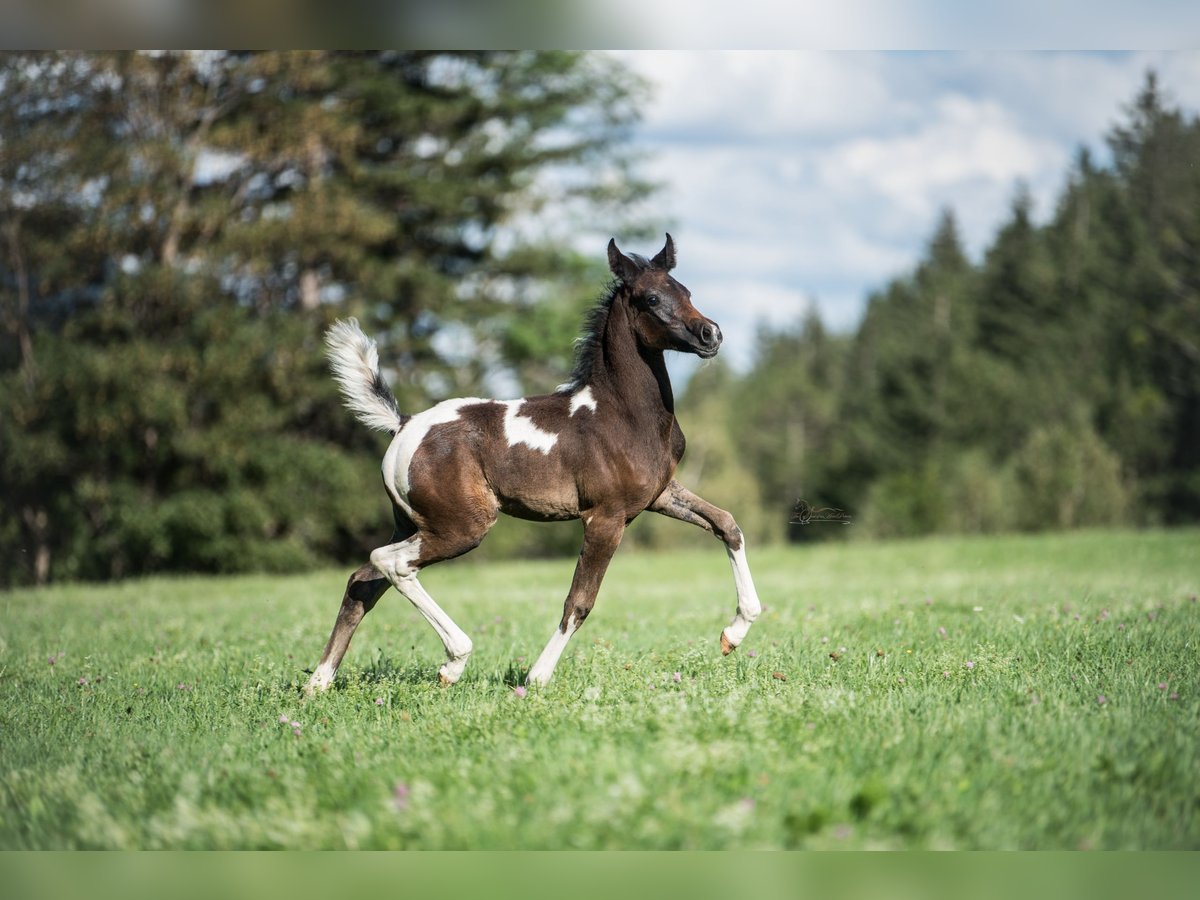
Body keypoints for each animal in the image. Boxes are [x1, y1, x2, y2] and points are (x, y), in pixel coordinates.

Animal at [307, 236, 758, 696]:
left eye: (686, 291)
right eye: (651, 298)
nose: (711, 333)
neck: (621, 414)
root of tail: (404, 424)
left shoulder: (660, 495)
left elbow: (727, 524)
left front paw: (734, 633)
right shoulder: (605, 517)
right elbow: (579, 601)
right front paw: (537, 677)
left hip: (412, 523)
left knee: (362, 581)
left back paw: (319, 682)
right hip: (462, 527)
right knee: (390, 563)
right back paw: (453, 662)